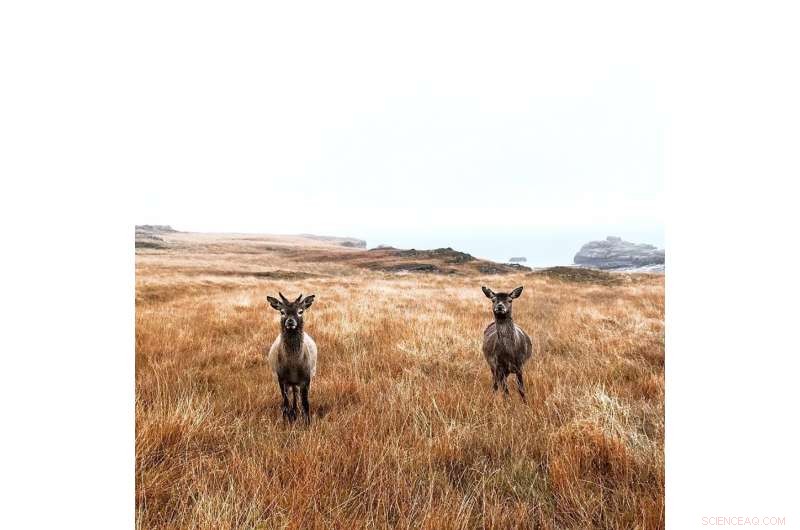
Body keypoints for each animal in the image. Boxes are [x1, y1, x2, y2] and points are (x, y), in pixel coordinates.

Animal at [266, 292, 317, 423]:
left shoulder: (306, 377)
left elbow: (305, 403)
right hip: (290, 382)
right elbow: (285, 403)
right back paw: (293, 413)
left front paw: (307, 422)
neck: (293, 366)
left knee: (296, 394)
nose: (290, 321)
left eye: (300, 311)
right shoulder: (281, 377)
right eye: (282, 312)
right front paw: (286, 420)